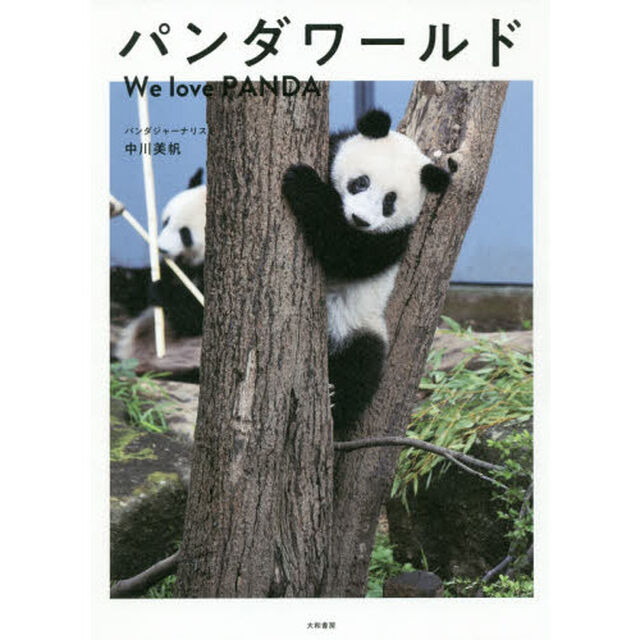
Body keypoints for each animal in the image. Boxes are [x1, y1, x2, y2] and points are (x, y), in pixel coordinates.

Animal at [282, 109, 450, 435]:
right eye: (361, 182)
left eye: (389, 202)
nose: (360, 219)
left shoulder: (393, 239)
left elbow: (343, 251)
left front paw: (302, 182)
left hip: (360, 326)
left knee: (360, 367)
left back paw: (335, 406)